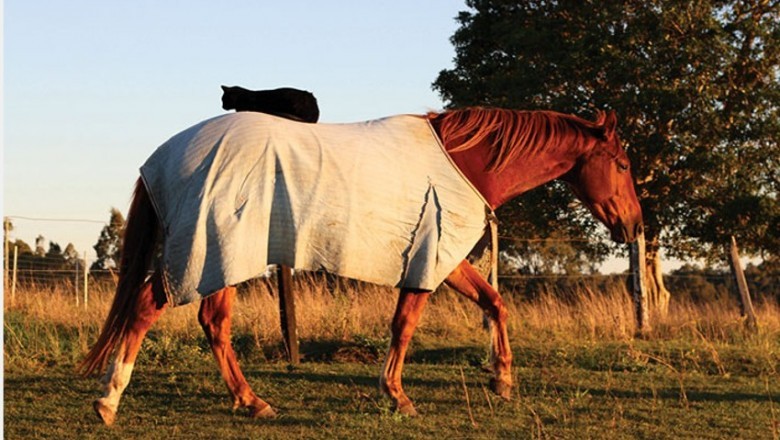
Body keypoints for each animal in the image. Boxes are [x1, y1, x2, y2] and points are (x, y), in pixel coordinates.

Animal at [80, 105, 640, 422]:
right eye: (622, 164)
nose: (633, 226)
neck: (464, 162)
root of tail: (164, 157)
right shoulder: (428, 258)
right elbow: (404, 326)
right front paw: (396, 395)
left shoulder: (445, 261)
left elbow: (495, 303)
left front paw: (500, 380)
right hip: (213, 252)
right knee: (154, 308)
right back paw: (110, 400)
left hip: (223, 258)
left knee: (209, 323)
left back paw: (249, 401)